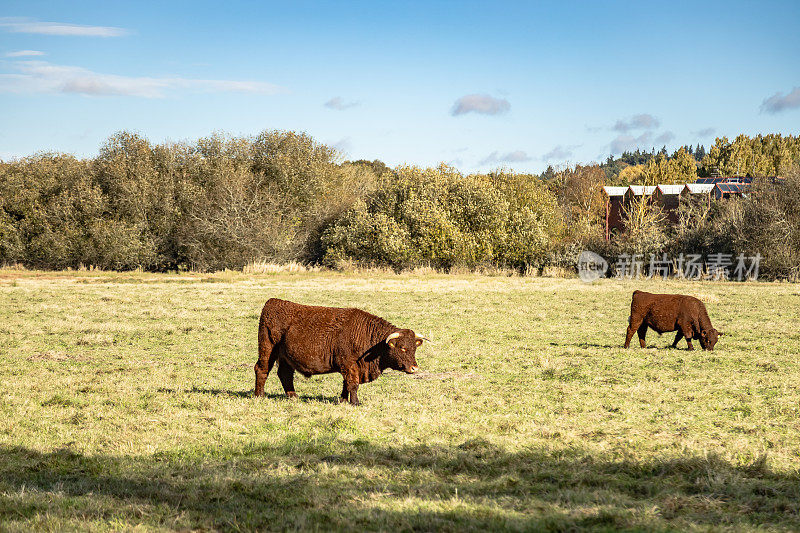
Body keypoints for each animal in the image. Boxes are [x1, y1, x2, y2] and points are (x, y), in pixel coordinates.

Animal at [255, 298, 428, 406]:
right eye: (402, 347)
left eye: (414, 348)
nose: (414, 368)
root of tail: (273, 302)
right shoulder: (349, 365)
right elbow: (353, 384)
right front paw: (355, 403)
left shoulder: (349, 367)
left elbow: (346, 384)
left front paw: (344, 400)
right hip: (268, 350)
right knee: (261, 369)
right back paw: (259, 396)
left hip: (285, 357)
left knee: (285, 374)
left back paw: (293, 397)